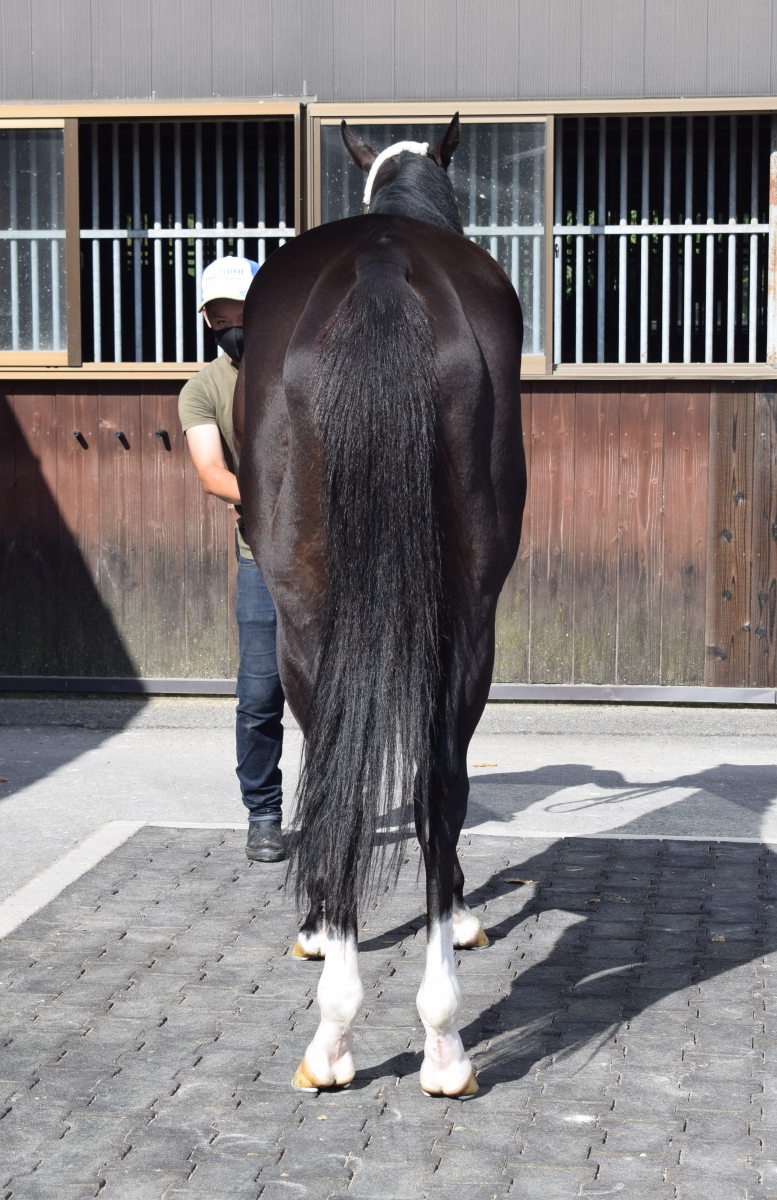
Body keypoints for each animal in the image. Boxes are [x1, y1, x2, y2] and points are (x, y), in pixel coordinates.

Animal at [233, 113, 526, 1099]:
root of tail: (383, 272)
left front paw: (320, 930)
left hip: (305, 617)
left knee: (346, 771)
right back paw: (440, 1040)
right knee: (438, 783)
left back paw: (341, 1026)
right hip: (468, 616)